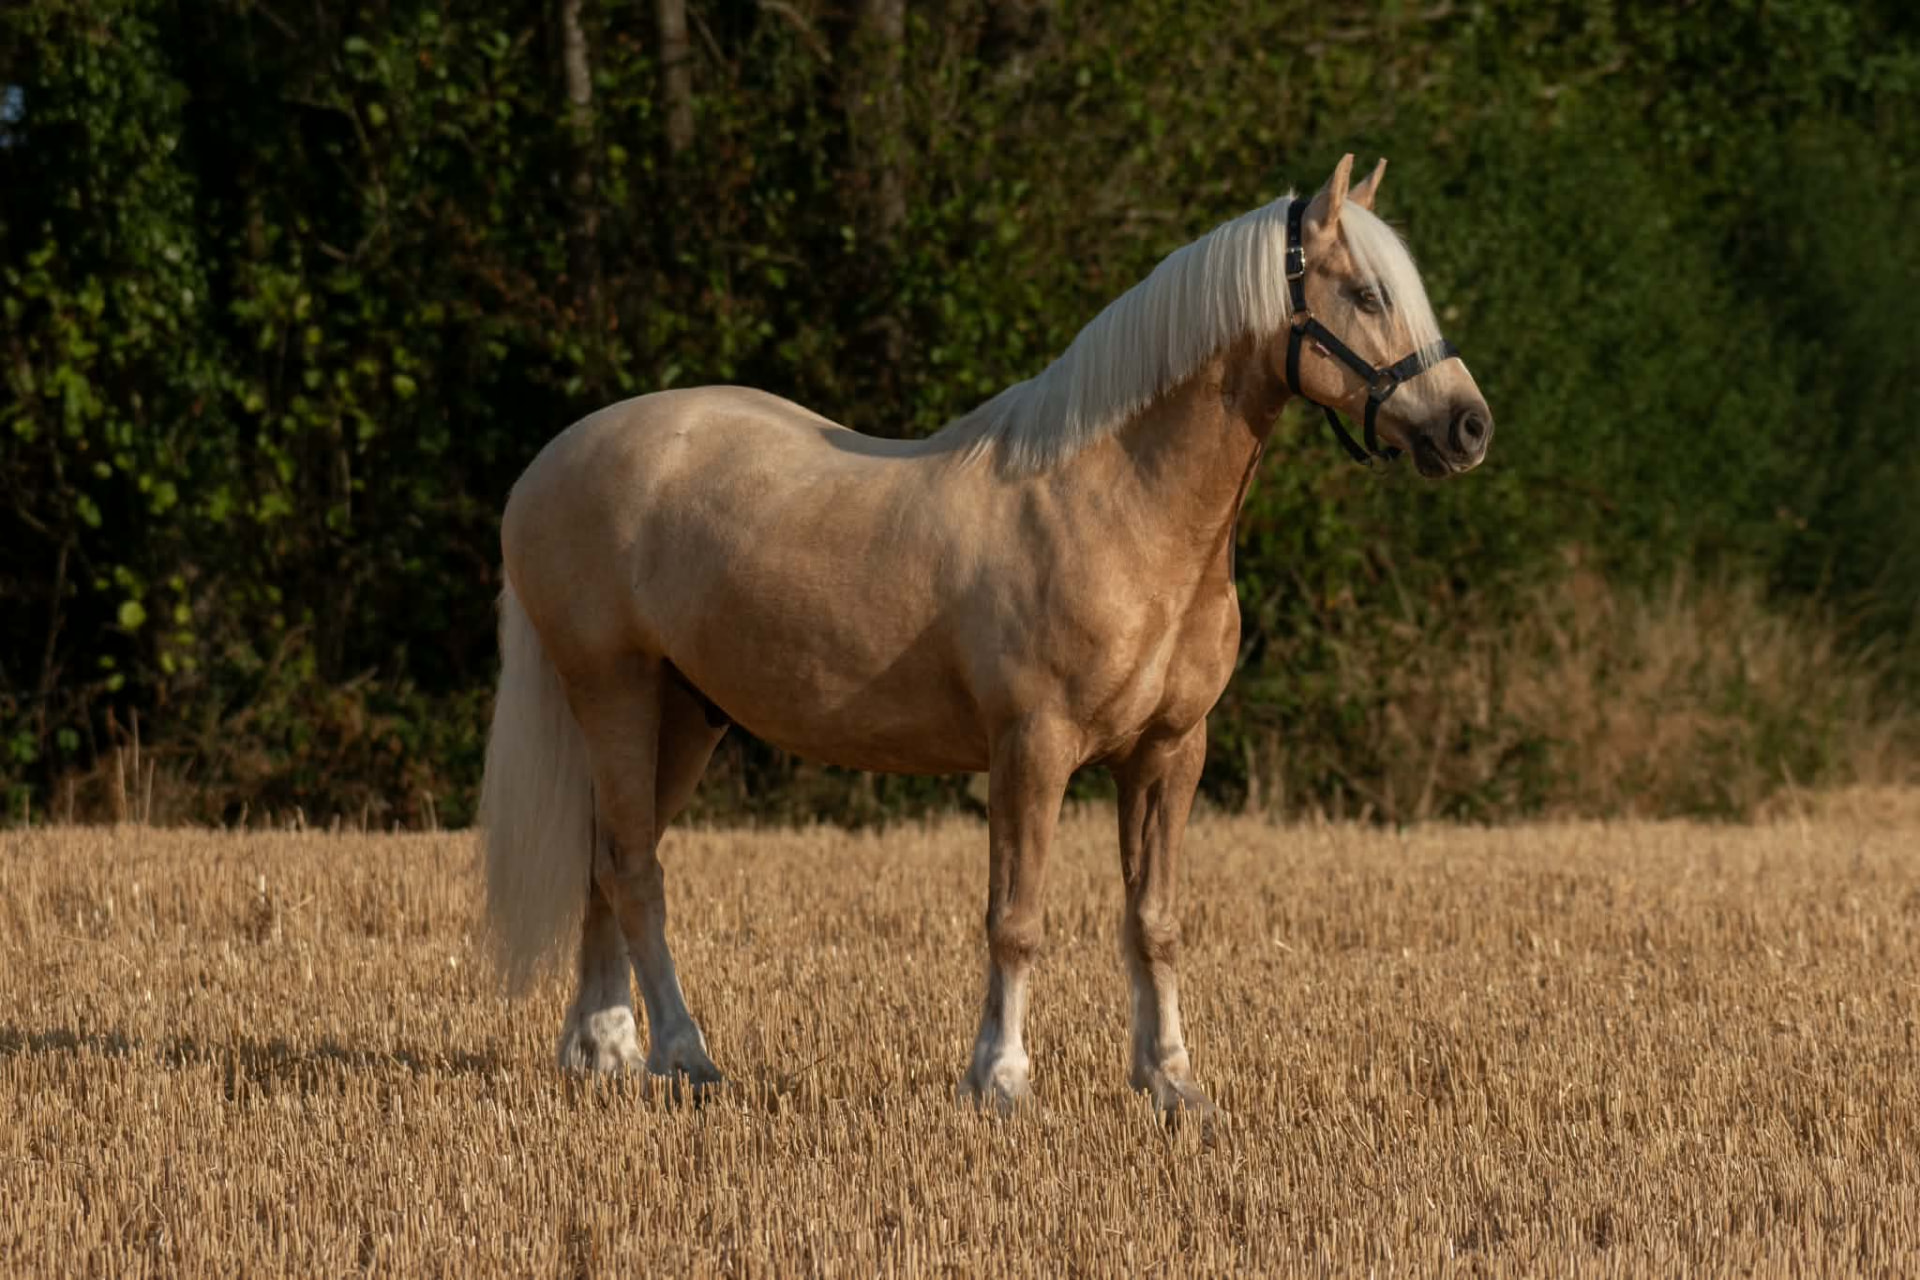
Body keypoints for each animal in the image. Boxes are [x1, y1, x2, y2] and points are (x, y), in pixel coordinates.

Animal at [479, 154, 1493, 1117]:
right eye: (1366, 294)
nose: (1468, 427)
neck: (1118, 507)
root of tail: (547, 464)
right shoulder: (1031, 748)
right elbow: (1018, 918)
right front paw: (1001, 1080)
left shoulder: (1169, 753)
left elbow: (1153, 920)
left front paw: (1171, 1082)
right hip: (614, 689)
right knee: (636, 872)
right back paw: (684, 1057)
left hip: (685, 714)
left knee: (606, 864)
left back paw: (602, 1051)